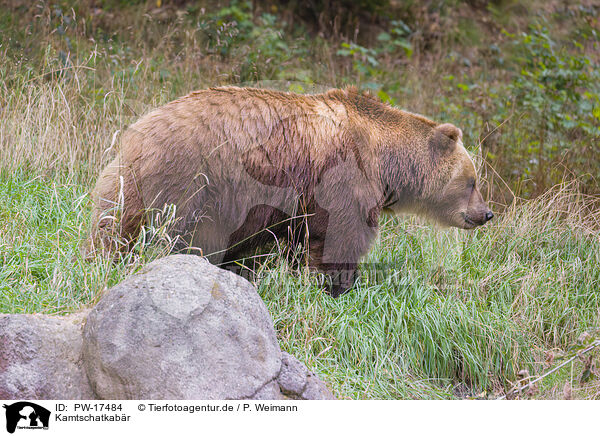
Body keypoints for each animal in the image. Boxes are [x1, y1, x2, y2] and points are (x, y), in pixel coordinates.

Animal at [89, 86, 492, 296]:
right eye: (472, 181)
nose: (485, 213)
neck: (384, 160)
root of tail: (140, 131)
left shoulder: (290, 203)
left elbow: (280, 243)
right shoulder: (343, 179)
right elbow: (340, 238)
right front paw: (339, 287)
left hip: (132, 181)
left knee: (115, 223)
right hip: (191, 178)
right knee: (173, 232)